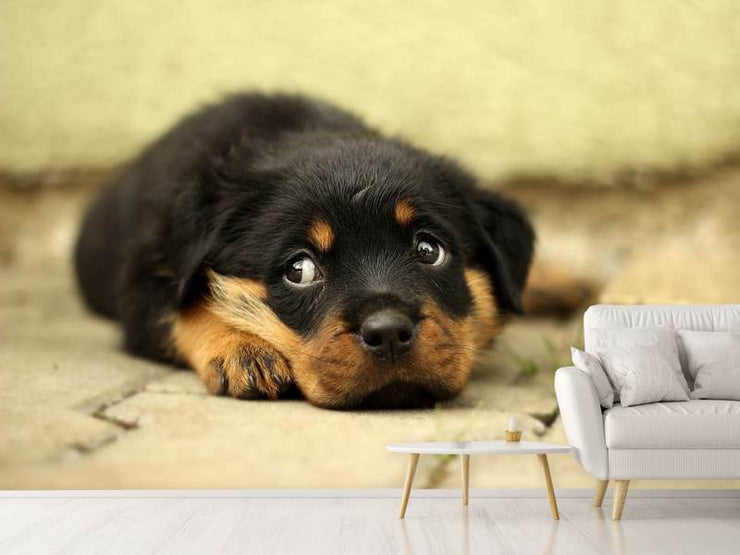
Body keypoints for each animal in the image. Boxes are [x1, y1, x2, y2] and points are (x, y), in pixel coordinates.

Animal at [73, 93, 532, 410]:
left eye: (428, 249)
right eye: (300, 270)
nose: (388, 333)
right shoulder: (146, 280)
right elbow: (184, 310)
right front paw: (241, 349)